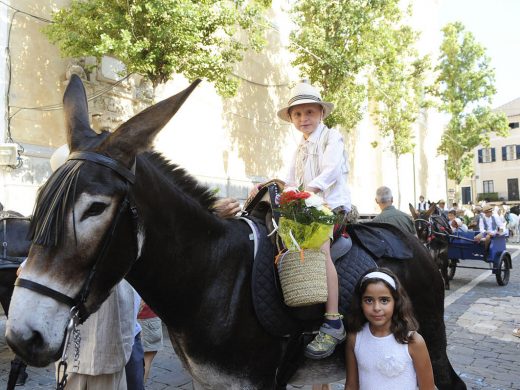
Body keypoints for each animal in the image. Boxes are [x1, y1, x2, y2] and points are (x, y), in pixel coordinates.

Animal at [6, 74, 466, 388]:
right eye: (41, 202)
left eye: (96, 208)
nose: (20, 337)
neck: (211, 276)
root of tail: (415, 242)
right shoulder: (208, 381)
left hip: (428, 341)